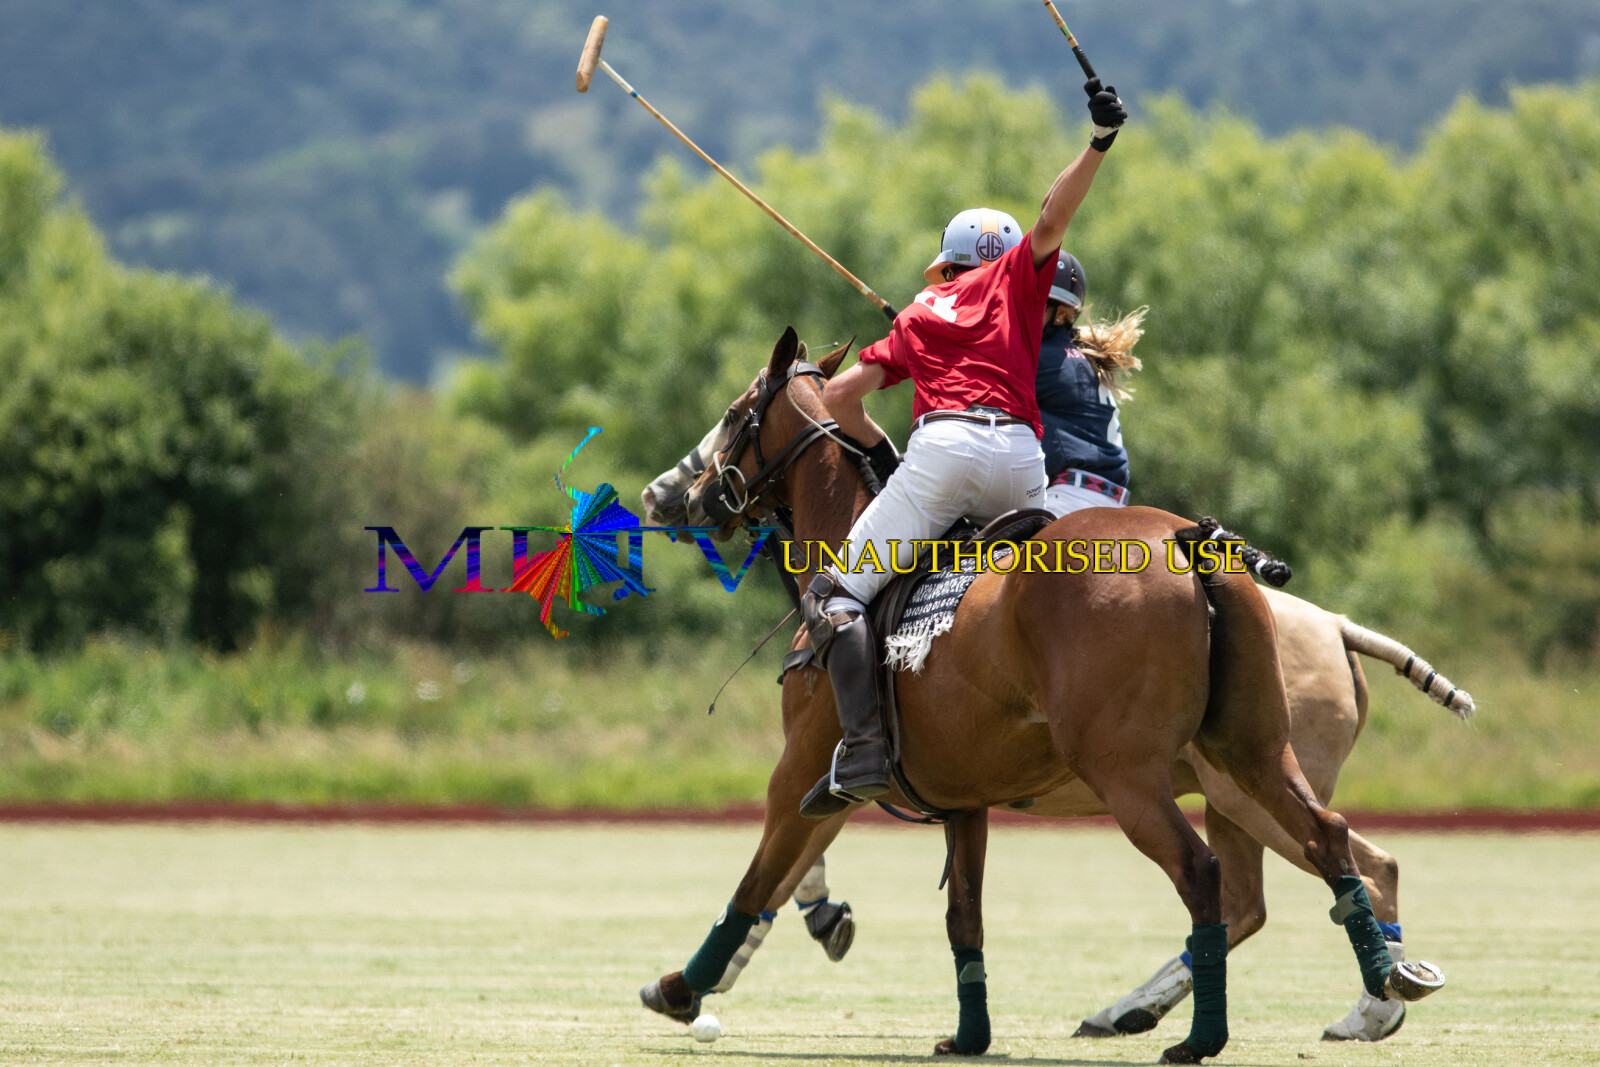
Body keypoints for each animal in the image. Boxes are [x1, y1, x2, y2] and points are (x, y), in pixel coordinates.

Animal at [638, 327, 1443, 1063]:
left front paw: (683, 987)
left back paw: (1208, 1031)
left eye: (735, 412)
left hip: (1138, 774)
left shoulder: (810, 768)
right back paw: (1381, 982)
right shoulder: (959, 796)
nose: (672, 496)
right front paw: (968, 1035)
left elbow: (760, 879)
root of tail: (1193, 541)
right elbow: (963, 916)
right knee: (1327, 841)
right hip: (1252, 754)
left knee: (1215, 875)